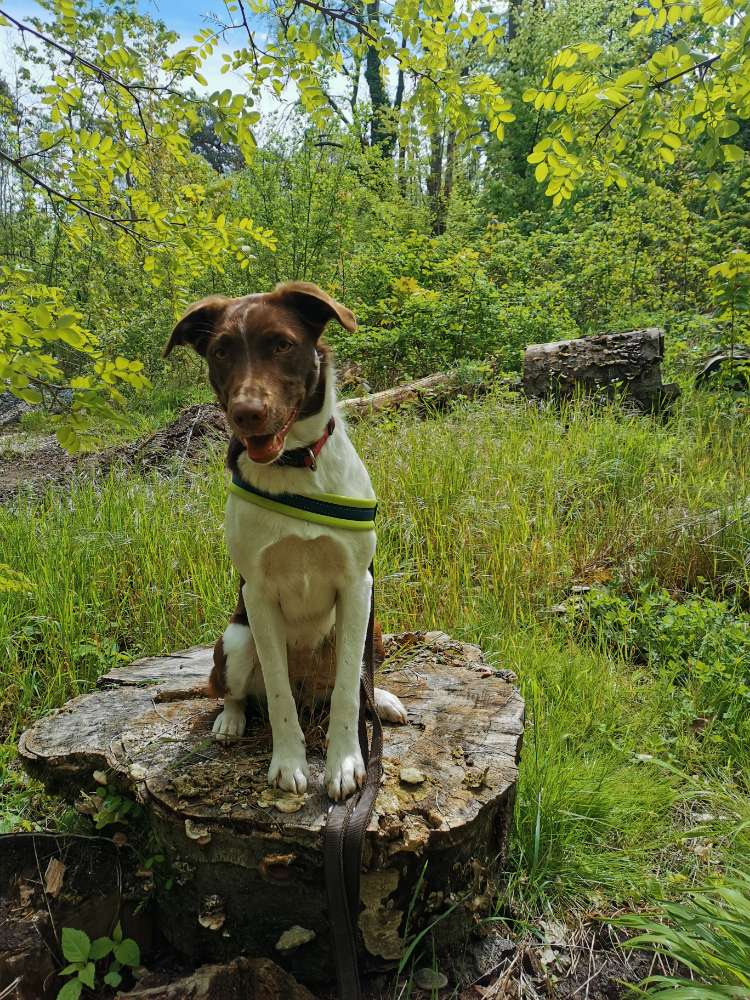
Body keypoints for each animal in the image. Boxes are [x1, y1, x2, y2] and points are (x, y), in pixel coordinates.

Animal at [165, 286, 408, 800]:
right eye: (221, 351)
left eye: (281, 344)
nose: (247, 414)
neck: (296, 466)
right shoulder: (257, 593)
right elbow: (277, 695)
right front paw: (288, 764)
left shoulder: (358, 585)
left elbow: (347, 691)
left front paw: (344, 763)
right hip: (235, 639)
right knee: (232, 690)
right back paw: (230, 721)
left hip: (373, 629)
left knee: (351, 682)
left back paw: (381, 699)